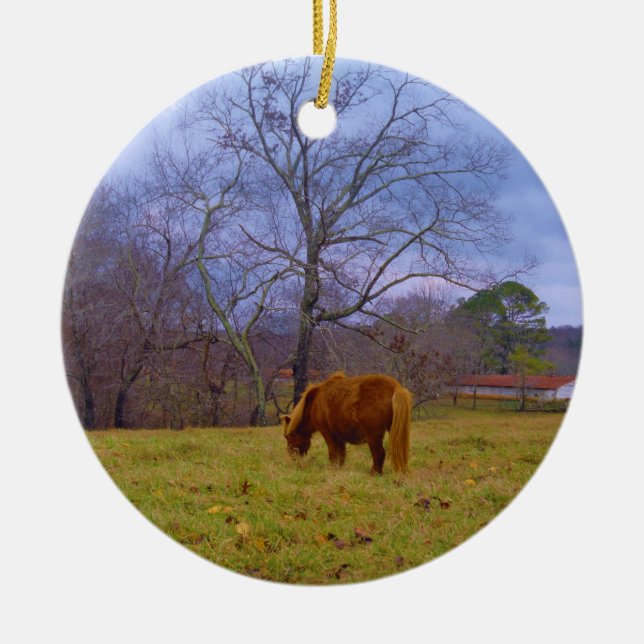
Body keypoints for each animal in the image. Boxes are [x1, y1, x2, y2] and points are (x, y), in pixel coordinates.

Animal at [281, 372, 412, 474]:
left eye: (288, 436)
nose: (293, 457)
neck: (315, 402)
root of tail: (395, 387)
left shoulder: (328, 434)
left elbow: (333, 453)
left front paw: (332, 469)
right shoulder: (339, 437)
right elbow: (341, 455)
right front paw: (339, 468)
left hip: (373, 435)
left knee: (379, 453)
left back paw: (374, 472)